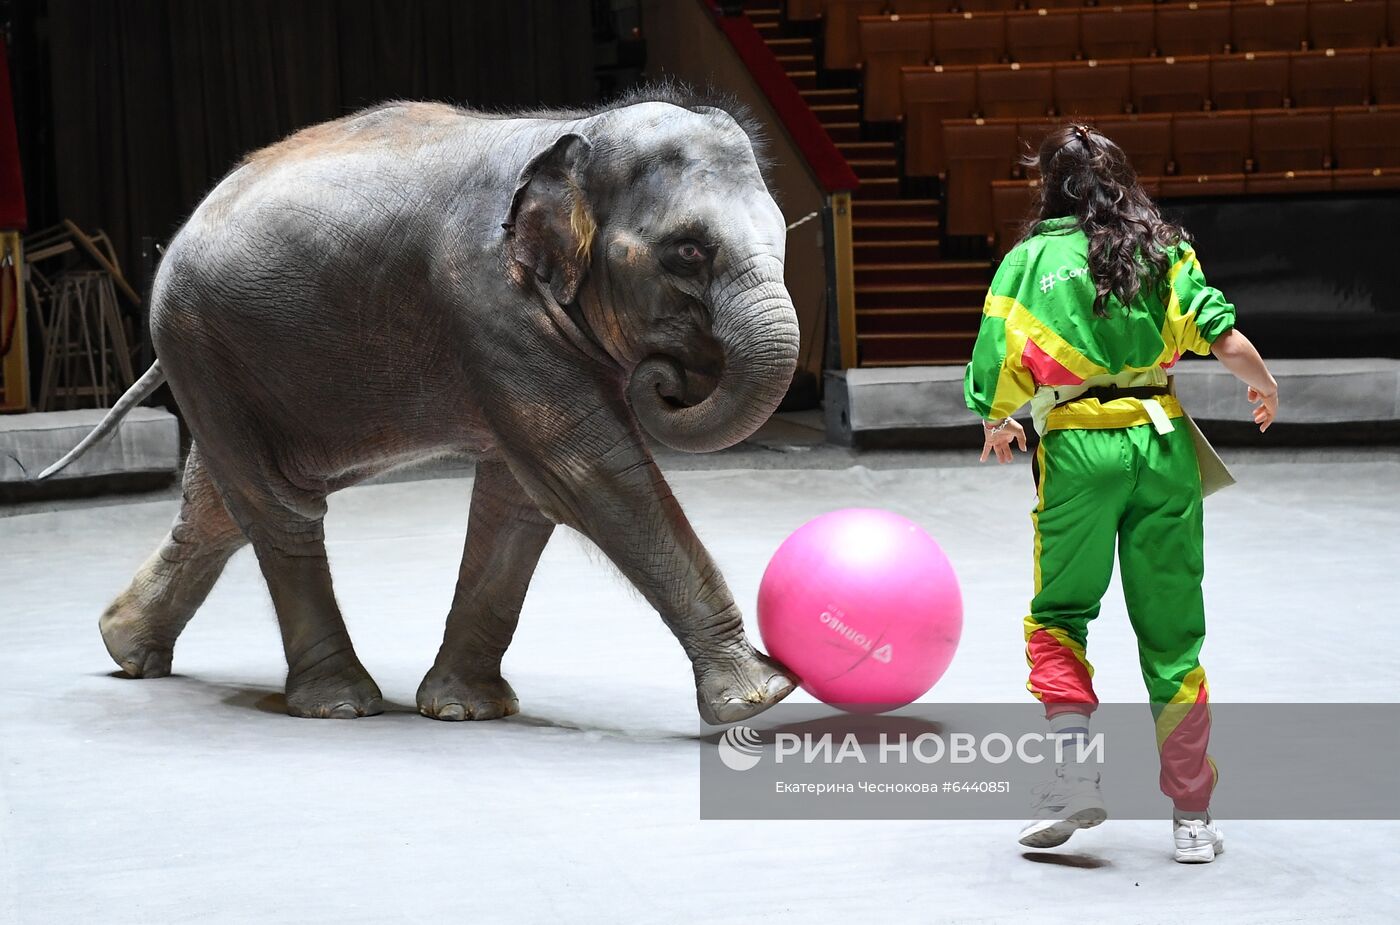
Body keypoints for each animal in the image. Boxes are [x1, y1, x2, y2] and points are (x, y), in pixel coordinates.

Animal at [40, 88, 800, 722]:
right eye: (688, 251)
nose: (664, 375)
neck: (575, 132)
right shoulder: (489, 304)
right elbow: (586, 472)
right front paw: (762, 697)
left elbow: (520, 498)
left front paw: (466, 710)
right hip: (197, 338)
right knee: (278, 506)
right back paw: (340, 705)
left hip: (222, 362)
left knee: (218, 502)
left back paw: (124, 648)